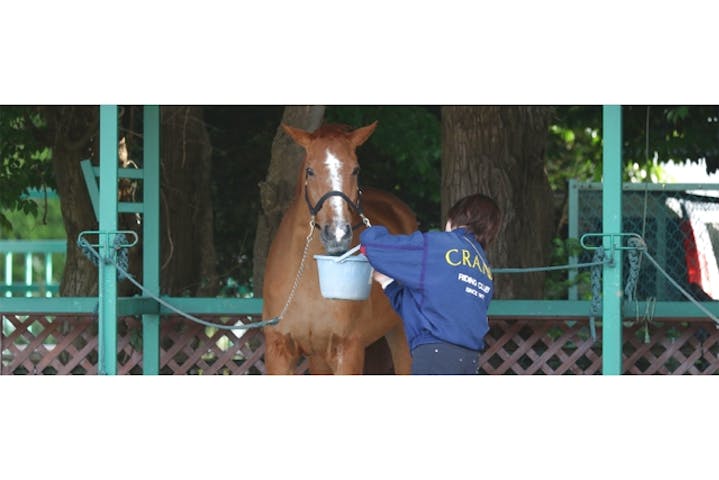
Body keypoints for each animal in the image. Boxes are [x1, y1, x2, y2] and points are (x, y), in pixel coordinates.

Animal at [261, 121, 417, 374]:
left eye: (356, 170)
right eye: (310, 171)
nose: (337, 233)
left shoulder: (348, 350)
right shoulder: (280, 349)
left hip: (401, 335)